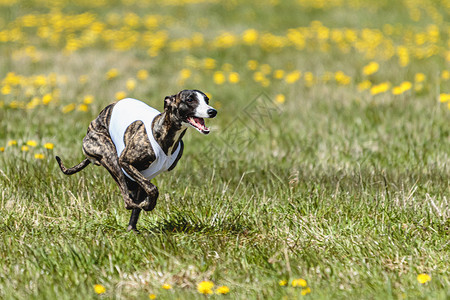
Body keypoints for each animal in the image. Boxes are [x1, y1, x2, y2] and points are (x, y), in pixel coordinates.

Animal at [55, 90, 217, 231]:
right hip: (110, 155)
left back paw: (133, 227)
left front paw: (139, 215)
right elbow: (152, 190)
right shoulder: (125, 162)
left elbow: (147, 192)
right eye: (189, 99)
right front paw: (146, 205)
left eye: (207, 100)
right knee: (127, 201)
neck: (163, 131)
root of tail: (93, 124)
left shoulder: (145, 175)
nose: (212, 111)